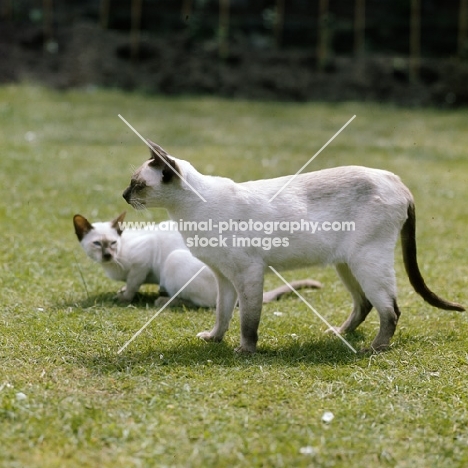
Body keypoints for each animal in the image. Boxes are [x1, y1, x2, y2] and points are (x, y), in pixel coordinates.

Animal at [121, 141, 464, 352]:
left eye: (137, 185)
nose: (124, 196)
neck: (187, 212)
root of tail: (398, 181)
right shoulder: (224, 277)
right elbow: (223, 314)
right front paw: (214, 339)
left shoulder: (248, 273)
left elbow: (248, 320)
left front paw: (245, 350)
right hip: (346, 265)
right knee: (365, 305)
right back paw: (338, 334)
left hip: (366, 262)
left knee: (391, 310)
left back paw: (375, 348)